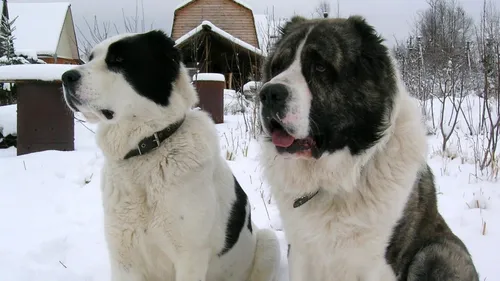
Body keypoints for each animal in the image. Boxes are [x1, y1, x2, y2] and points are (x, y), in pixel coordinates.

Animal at [60, 30, 280, 280]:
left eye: (118, 60)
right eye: (90, 58)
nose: (66, 76)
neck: (147, 148)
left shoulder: (190, 257)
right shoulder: (124, 257)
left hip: (269, 241)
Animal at [260, 15, 478, 280]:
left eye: (320, 67)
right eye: (277, 67)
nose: (269, 93)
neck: (337, 178)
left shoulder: (375, 264)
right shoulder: (300, 252)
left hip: (437, 251)